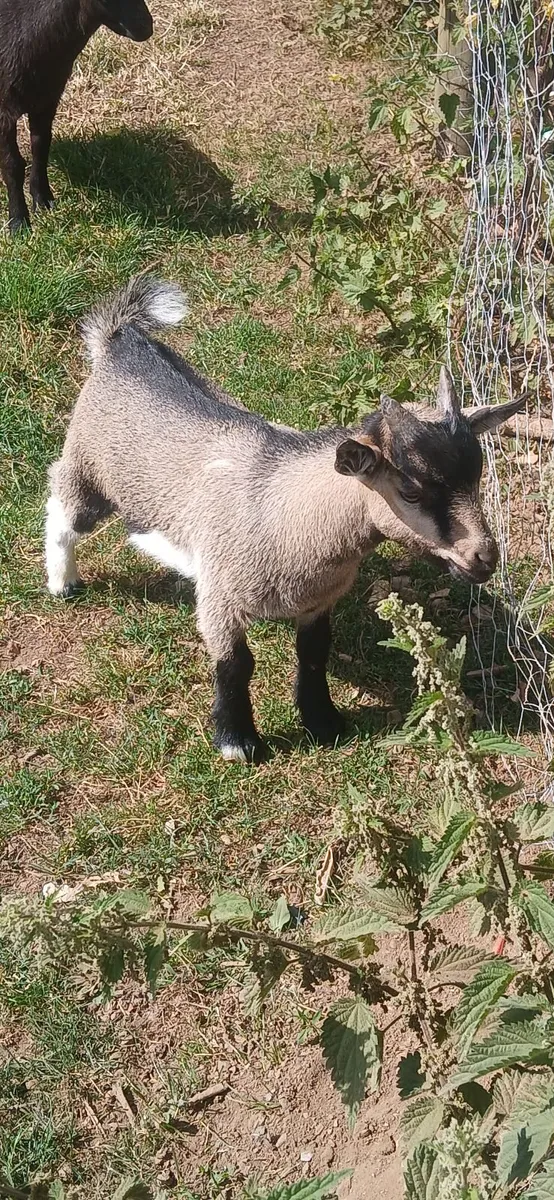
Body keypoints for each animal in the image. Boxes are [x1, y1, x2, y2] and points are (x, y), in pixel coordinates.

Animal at [0, 0, 153, 233]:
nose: (145, 27)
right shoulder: (4, 110)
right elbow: (12, 165)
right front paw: (18, 222)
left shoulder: (47, 98)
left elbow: (41, 147)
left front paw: (43, 200)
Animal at [45, 276, 527, 763]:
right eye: (410, 490)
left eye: (478, 477)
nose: (484, 558)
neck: (285, 508)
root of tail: (120, 342)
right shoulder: (221, 597)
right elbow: (235, 664)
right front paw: (238, 741)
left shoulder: (318, 600)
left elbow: (313, 653)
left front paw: (323, 722)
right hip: (87, 467)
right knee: (62, 508)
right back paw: (63, 582)